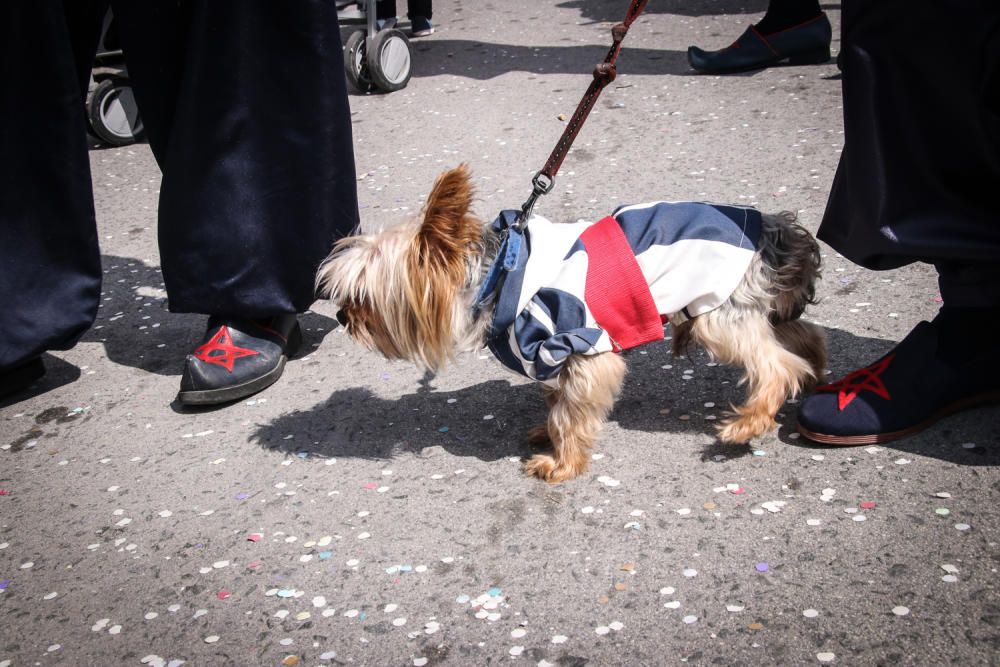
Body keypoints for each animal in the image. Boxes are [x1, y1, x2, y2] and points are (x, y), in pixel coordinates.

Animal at [316, 165, 824, 482]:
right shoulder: (552, 354)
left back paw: (749, 422)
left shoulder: (577, 342)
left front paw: (560, 463)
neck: (498, 273)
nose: (342, 317)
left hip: (716, 309)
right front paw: (548, 434)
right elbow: (558, 400)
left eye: (363, 298)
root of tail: (775, 227)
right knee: (800, 337)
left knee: (777, 365)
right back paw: (815, 376)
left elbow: (571, 411)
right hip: (748, 304)